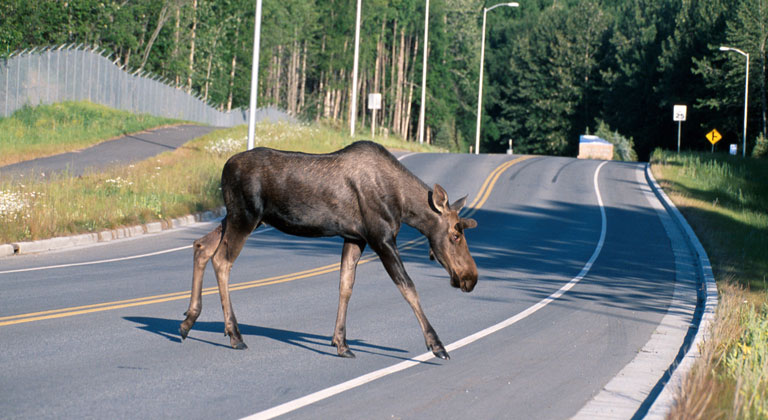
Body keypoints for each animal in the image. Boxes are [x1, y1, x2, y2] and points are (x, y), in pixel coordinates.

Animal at [182, 140, 476, 358]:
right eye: (455, 234)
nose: (470, 278)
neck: (404, 206)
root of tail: (224, 168)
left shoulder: (355, 238)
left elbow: (346, 285)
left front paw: (341, 343)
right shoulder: (381, 238)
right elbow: (408, 287)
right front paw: (437, 345)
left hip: (235, 217)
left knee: (202, 246)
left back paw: (188, 321)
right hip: (245, 217)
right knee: (222, 260)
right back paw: (234, 334)